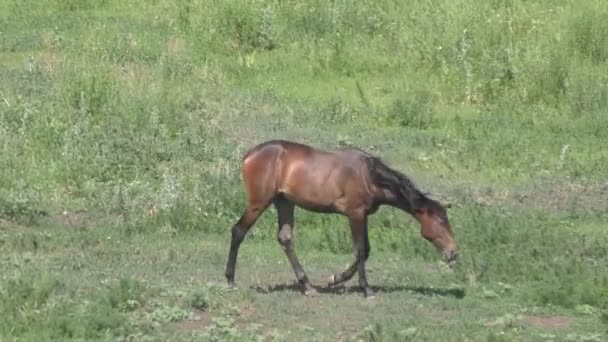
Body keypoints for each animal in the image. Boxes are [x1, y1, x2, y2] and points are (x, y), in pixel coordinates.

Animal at [223, 139, 456, 296]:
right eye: (441, 222)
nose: (453, 253)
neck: (368, 176)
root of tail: (249, 155)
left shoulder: (362, 216)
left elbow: (365, 251)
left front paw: (335, 279)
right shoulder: (355, 214)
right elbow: (360, 250)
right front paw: (366, 289)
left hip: (284, 202)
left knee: (285, 239)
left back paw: (307, 286)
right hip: (259, 203)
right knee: (238, 231)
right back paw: (230, 280)